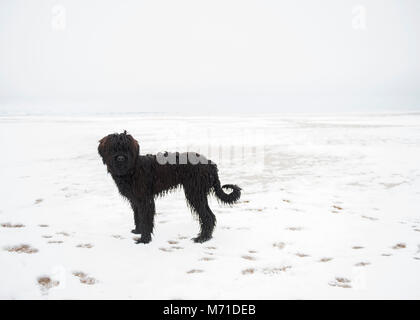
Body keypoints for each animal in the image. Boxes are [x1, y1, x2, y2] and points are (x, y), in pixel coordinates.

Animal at [97, 131, 240, 244]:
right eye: (113, 148)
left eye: (127, 148)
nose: (121, 158)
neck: (133, 169)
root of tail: (210, 164)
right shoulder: (136, 199)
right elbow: (137, 216)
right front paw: (138, 230)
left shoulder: (145, 200)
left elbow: (146, 218)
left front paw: (144, 239)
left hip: (195, 192)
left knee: (208, 216)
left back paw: (202, 238)